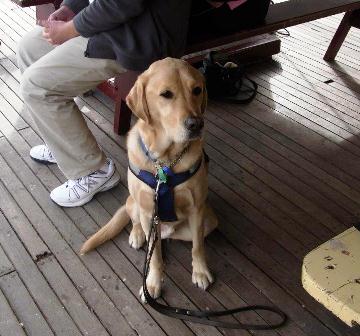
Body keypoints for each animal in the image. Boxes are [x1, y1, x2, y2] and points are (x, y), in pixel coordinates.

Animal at [80, 57, 218, 300]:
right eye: (166, 94)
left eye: (197, 90)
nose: (196, 124)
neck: (166, 162)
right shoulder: (147, 210)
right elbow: (154, 257)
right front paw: (152, 283)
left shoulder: (197, 209)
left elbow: (198, 247)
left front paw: (200, 272)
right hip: (137, 207)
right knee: (137, 223)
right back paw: (137, 236)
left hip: (208, 221)